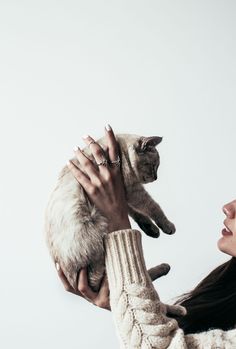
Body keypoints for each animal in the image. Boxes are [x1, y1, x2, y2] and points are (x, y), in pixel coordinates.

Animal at [45, 133, 176, 290]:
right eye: (153, 166)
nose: (156, 178)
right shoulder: (133, 191)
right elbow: (153, 207)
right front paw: (167, 226)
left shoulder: (124, 196)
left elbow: (137, 214)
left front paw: (151, 229)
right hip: (98, 225)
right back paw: (164, 267)